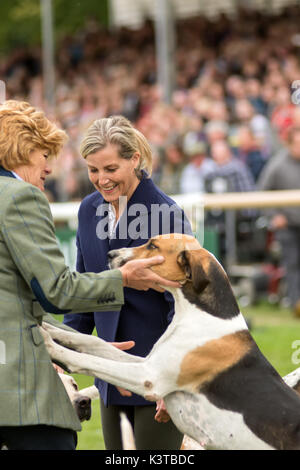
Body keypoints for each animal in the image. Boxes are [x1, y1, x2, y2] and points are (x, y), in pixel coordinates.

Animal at [41, 237, 300, 450]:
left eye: (153, 245)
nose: (111, 254)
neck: (202, 314)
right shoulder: (148, 361)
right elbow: (91, 341)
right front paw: (49, 329)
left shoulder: (148, 378)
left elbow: (87, 360)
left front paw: (51, 346)